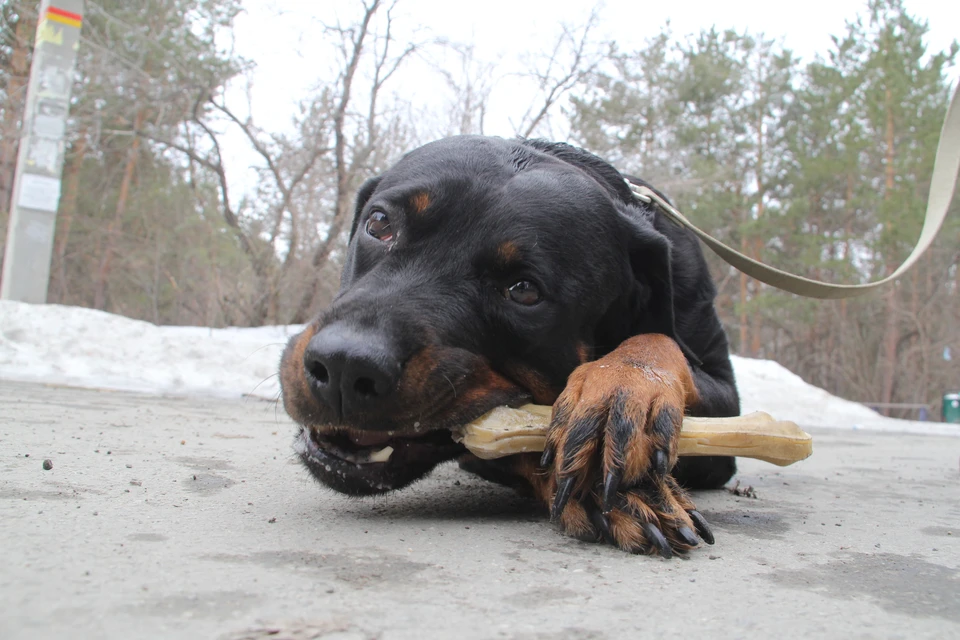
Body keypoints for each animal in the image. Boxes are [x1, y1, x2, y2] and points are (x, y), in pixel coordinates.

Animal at [282, 138, 740, 556]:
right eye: (379, 223)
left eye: (523, 290)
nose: (344, 365)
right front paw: (609, 486)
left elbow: (662, 341)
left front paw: (623, 387)